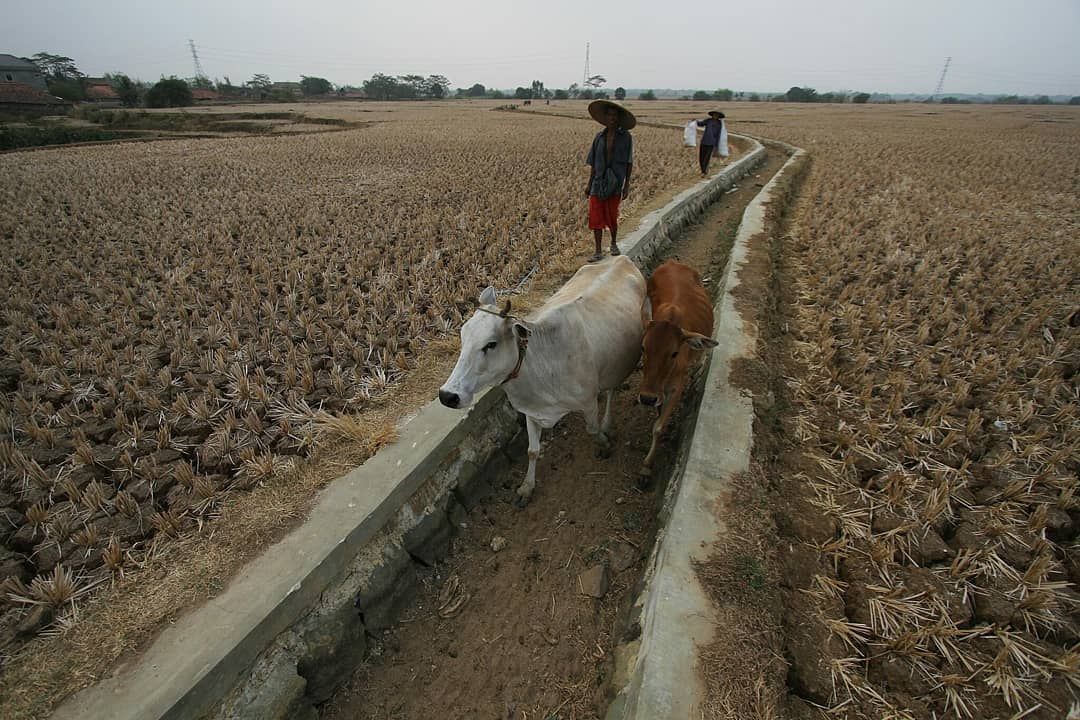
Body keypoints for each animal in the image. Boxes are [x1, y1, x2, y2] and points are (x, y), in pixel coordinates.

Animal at [436, 257, 639, 507]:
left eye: (491, 344)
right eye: (462, 337)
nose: (448, 395)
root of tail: (621, 258)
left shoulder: (588, 402)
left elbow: (592, 429)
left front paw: (603, 443)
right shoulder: (530, 411)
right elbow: (532, 450)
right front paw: (526, 487)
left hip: (618, 365)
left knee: (612, 389)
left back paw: (608, 423)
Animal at [639, 262, 717, 474]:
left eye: (674, 353)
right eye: (643, 347)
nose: (647, 398)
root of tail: (673, 263)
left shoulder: (676, 388)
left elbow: (658, 427)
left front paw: (647, 465)